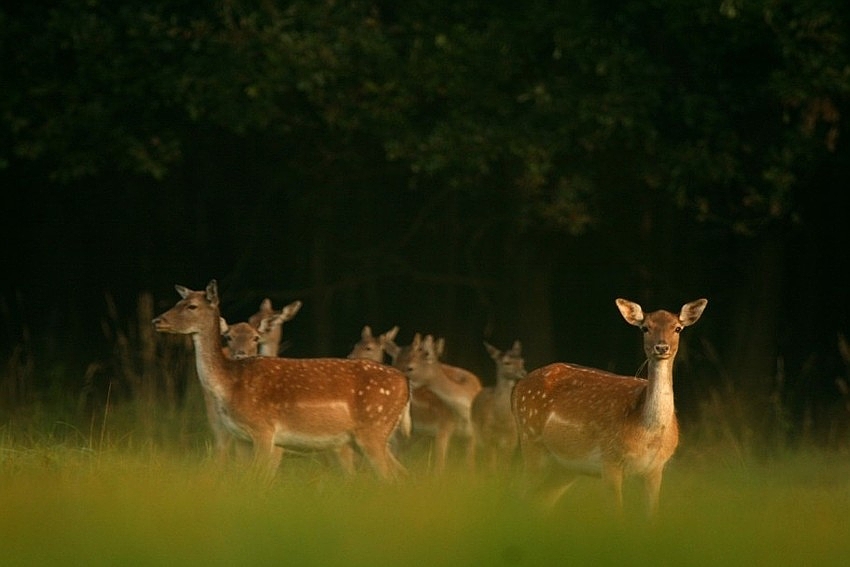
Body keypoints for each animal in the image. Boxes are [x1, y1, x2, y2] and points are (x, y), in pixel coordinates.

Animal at [153, 282, 410, 482]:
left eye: (191, 306)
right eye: (178, 302)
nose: (157, 320)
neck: (229, 384)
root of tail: (404, 384)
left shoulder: (264, 430)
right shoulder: (240, 438)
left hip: (374, 428)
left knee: (391, 476)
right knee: (403, 473)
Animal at [510, 298, 704, 520]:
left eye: (678, 328)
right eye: (645, 328)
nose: (661, 347)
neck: (646, 435)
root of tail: (516, 388)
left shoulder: (655, 469)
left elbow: (651, 516)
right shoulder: (609, 460)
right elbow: (616, 515)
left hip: (564, 467)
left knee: (541, 502)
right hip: (531, 441)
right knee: (520, 493)